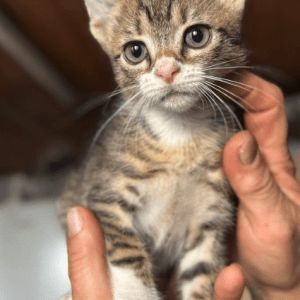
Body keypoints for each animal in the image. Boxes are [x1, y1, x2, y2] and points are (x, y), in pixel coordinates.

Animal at [57, 0, 247, 300]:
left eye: (197, 36)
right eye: (135, 51)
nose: (166, 70)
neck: (180, 136)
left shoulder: (210, 217)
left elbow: (201, 272)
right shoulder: (104, 194)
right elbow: (127, 251)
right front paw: (136, 293)